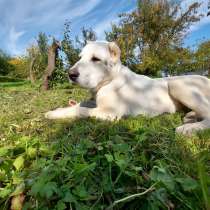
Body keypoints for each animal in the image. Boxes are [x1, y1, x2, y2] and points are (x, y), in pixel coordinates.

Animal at [44, 41, 210, 135]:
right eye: (80, 58)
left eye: (96, 59)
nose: (70, 74)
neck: (109, 81)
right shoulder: (95, 102)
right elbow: (80, 104)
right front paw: (59, 109)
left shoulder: (110, 113)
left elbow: (80, 110)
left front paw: (53, 114)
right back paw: (190, 117)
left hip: (177, 85)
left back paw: (190, 128)